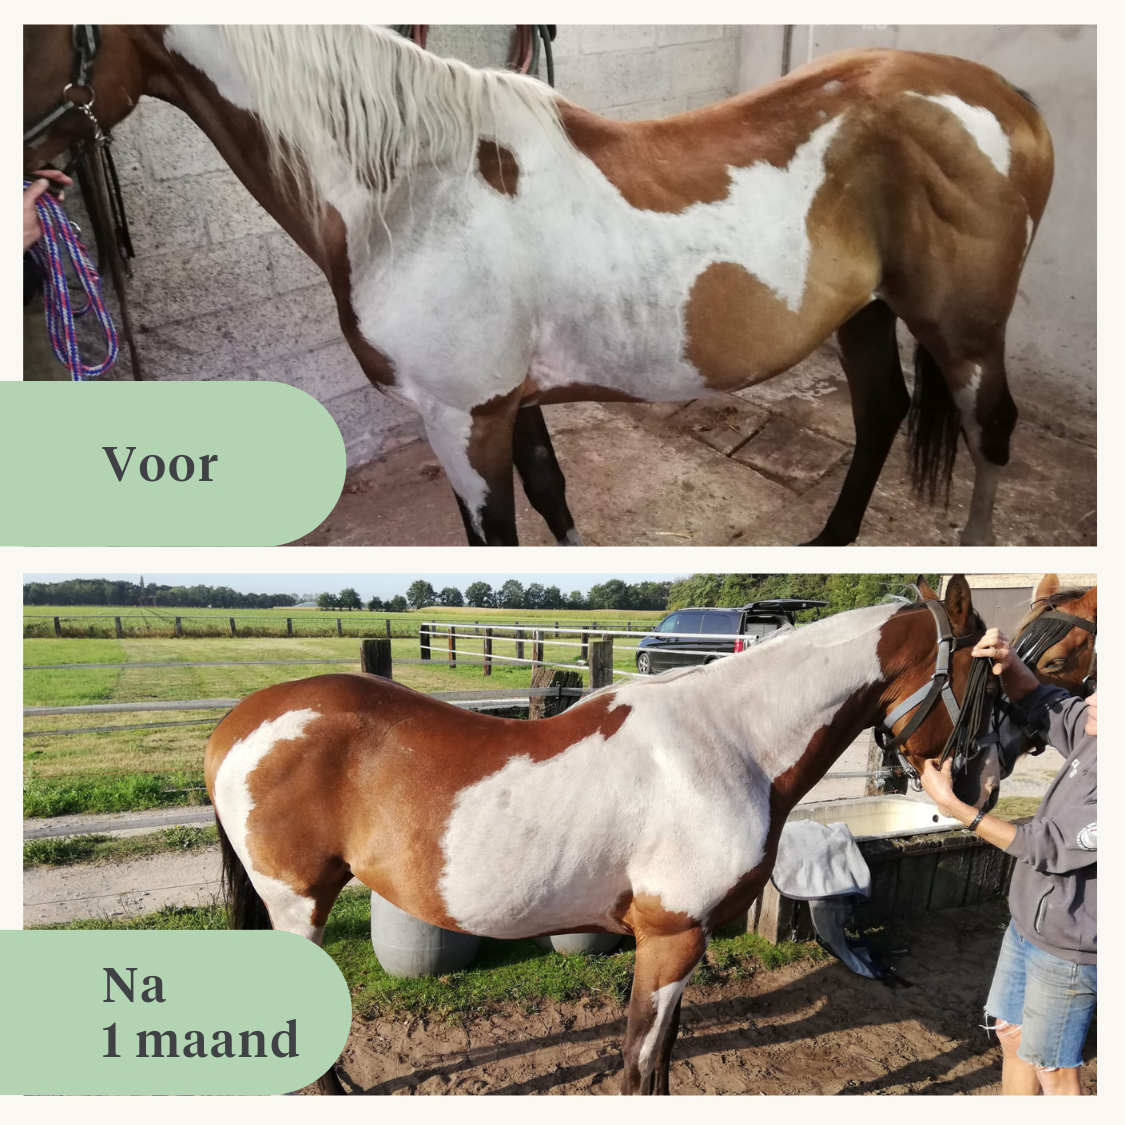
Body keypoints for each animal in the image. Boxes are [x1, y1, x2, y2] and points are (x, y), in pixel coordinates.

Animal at [23, 26, 1054, 546]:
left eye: (38, 35)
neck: (409, 187)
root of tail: (1010, 100)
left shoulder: (461, 415)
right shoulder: (508, 404)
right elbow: (555, 499)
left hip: (961, 329)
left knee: (989, 432)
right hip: (864, 313)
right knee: (882, 414)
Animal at [202, 576, 1005, 1094]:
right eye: (990, 679)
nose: (978, 789)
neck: (729, 742)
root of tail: (239, 723)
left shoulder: (679, 941)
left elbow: (663, 1061)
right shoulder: (671, 936)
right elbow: (638, 1064)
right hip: (298, 904)